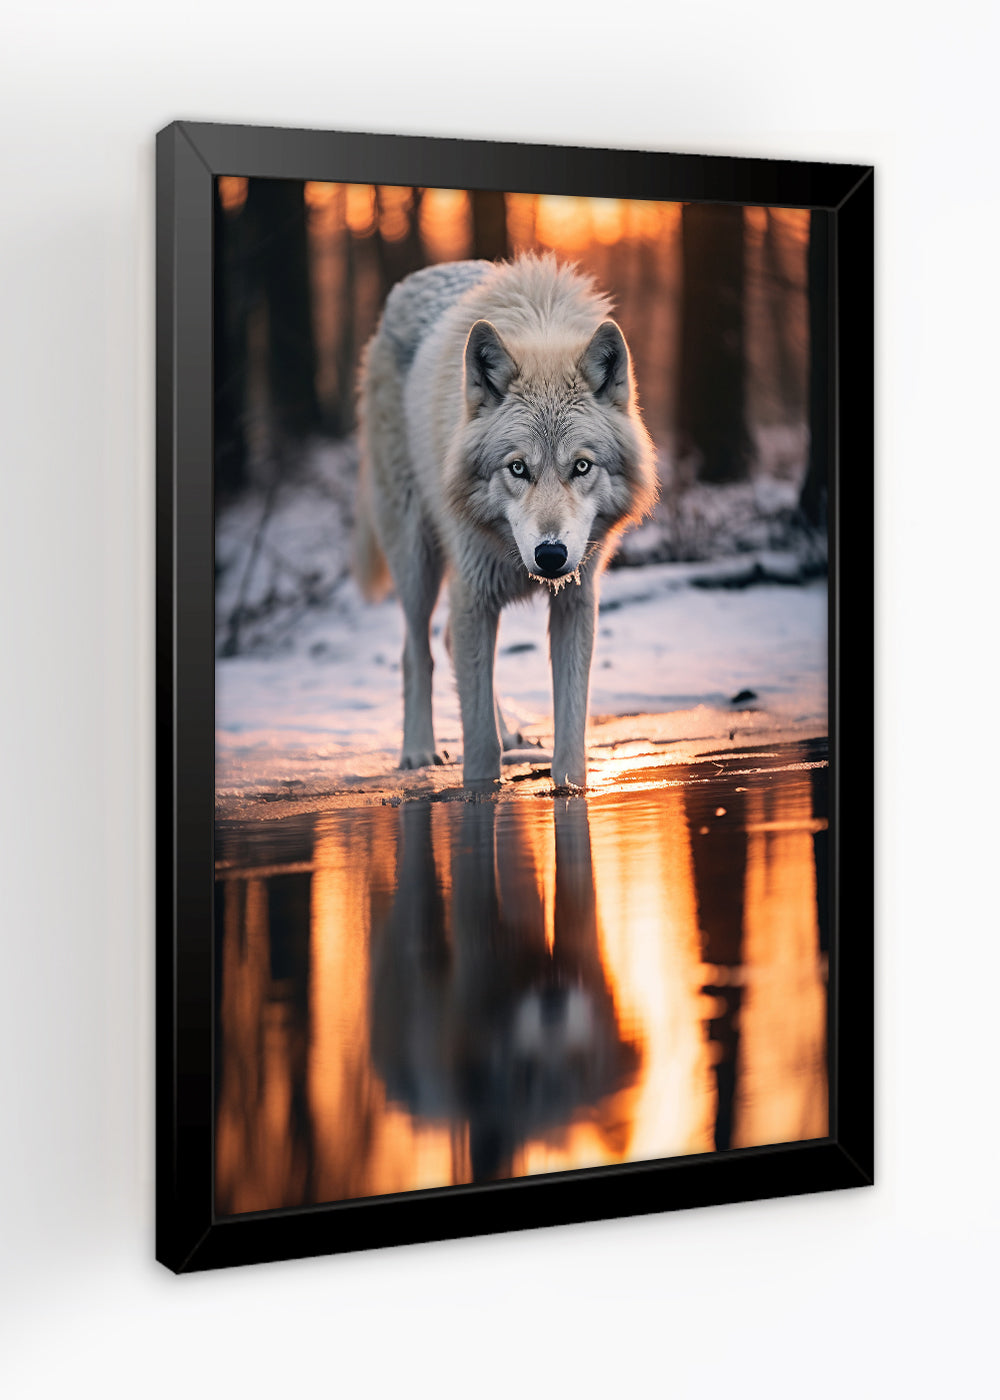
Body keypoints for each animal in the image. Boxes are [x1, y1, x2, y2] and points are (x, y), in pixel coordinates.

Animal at [353, 253, 657, 788]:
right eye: (518, 468)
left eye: (581, 466)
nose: (551, 555)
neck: (542, 328)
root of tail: (404, 288)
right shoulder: (474, 593)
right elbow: (477, 745)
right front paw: (478, 791)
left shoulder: (577, 599)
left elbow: (570, 728)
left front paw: (570, 788)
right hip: (417, 559)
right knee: (416, 651)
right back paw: (418, 751)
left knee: (447, 642)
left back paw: (510, 734)